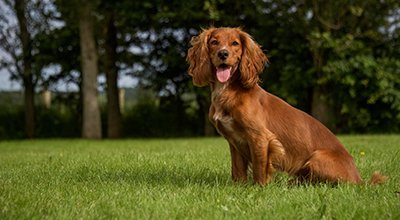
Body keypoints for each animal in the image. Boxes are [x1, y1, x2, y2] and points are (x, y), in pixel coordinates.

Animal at [186, 27, 386, 186]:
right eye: (214, 42)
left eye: (235, 43)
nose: (223, 54)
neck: (228, 90)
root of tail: (359, 179)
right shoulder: (234, 141)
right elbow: (237, 170)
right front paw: (238, 188)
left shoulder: (260, 137)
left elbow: (259, 168)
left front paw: (259, 189)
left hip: (317, 158)